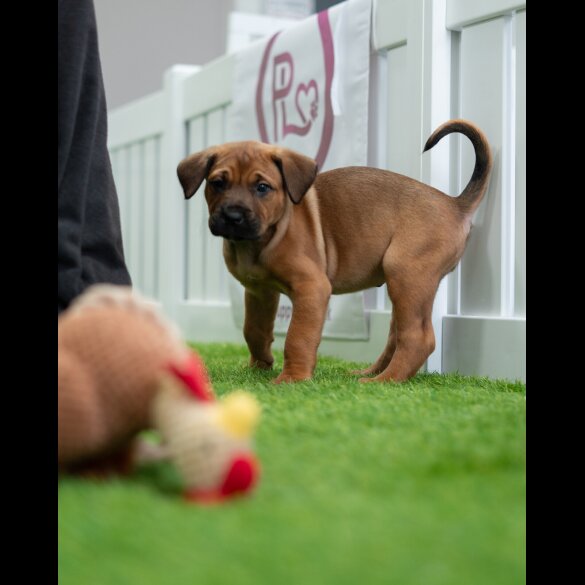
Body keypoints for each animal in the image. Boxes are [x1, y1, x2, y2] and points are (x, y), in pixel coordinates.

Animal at [178, 119, 492, 384]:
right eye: (217, 183)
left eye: (263, 187)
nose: (232, 216)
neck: (261, 239)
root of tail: (455, 204)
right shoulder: (259, 291)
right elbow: (253, 329)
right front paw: (260, 365)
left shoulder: (312, 287)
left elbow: (298, 336)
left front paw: (292, 378)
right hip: (405, 286)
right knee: (396, 336)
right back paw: (370, 372)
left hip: (406, 275)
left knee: (418, 337)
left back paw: (383, 381)